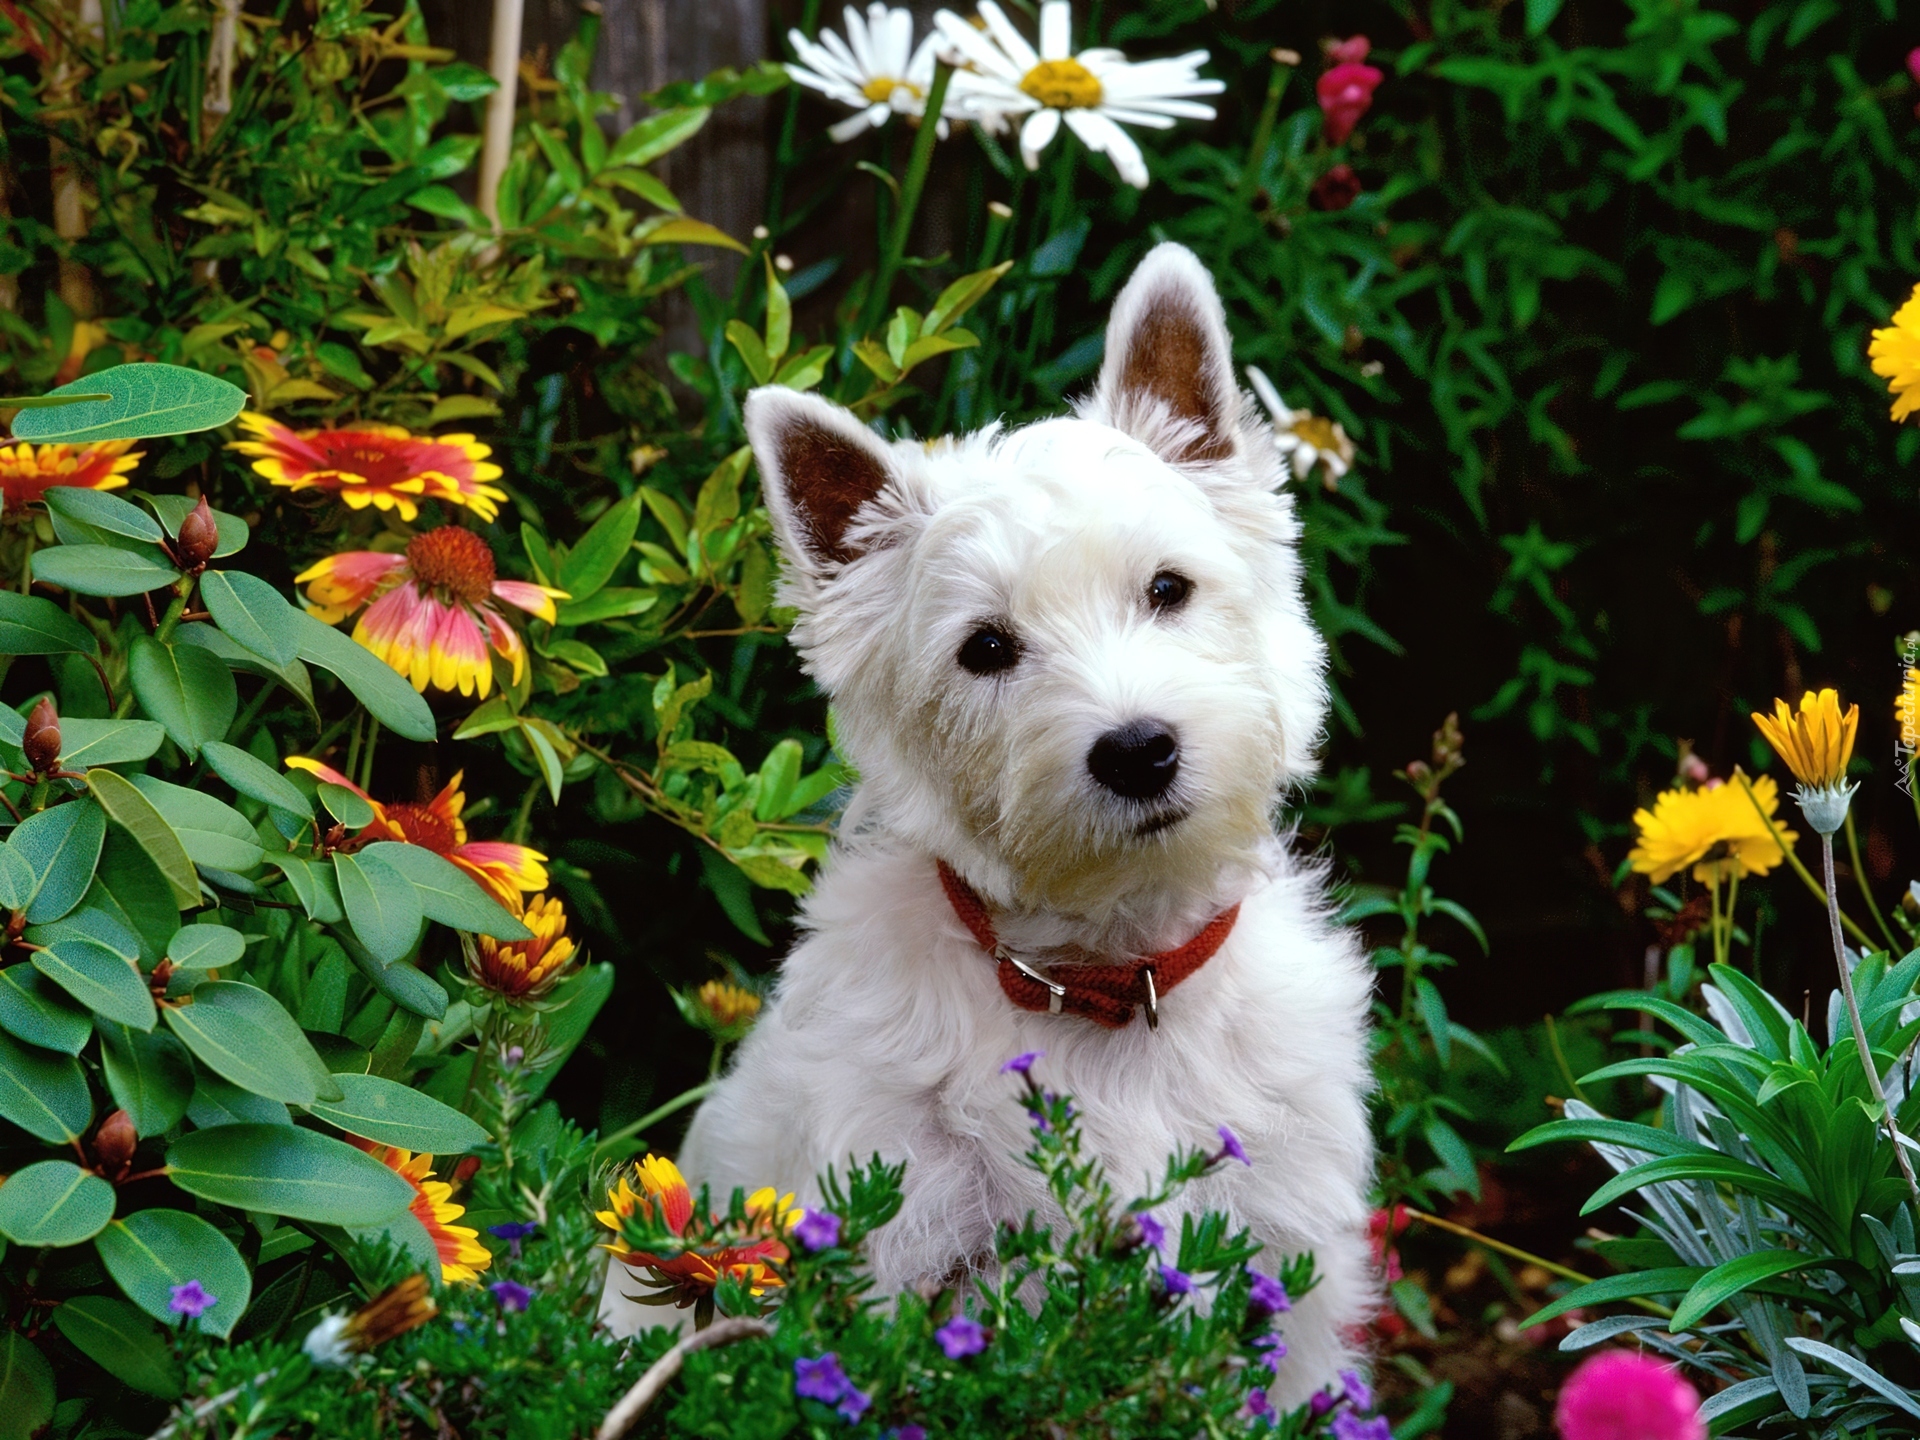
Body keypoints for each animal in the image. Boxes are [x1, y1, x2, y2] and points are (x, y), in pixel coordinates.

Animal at [606, 242, 1374, 1405]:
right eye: (987, 649)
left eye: (1167, 588)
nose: (1138, 750)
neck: (1109, 979)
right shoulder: (911, 1248)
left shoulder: (1290, 1269)